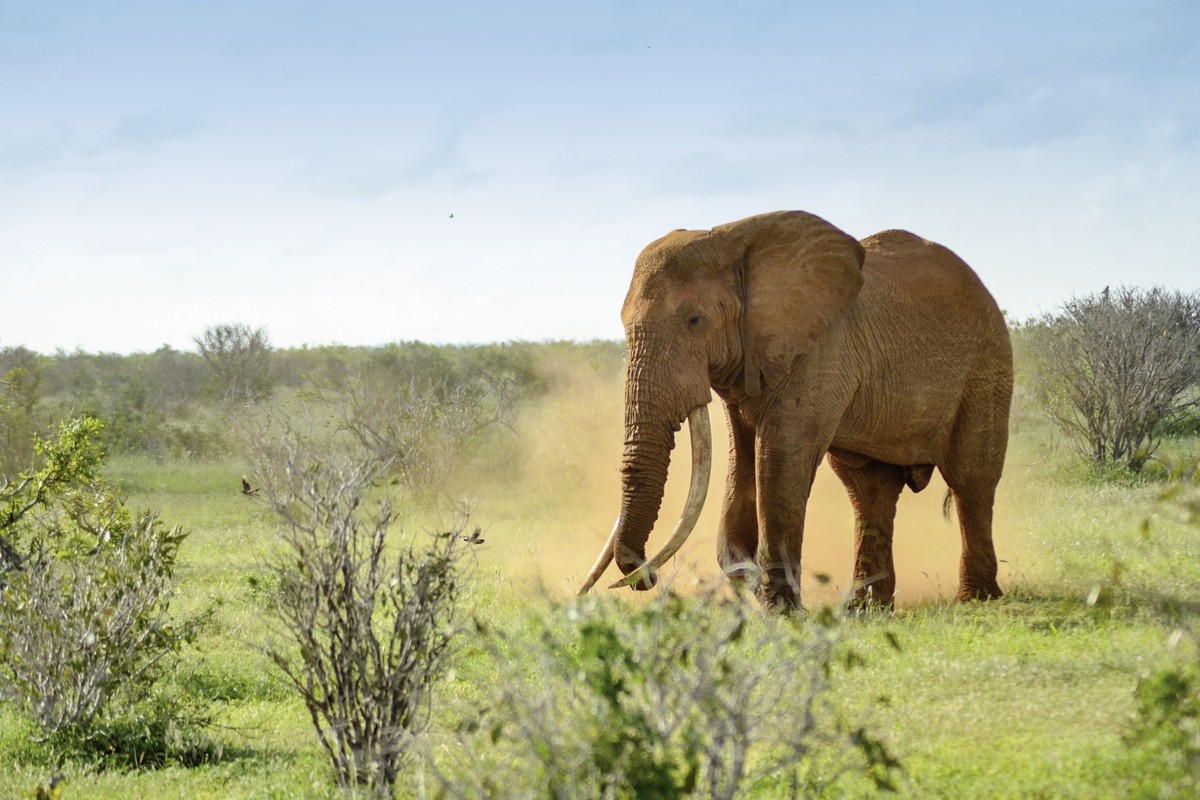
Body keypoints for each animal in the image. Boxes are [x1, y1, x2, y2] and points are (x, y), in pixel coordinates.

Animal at [578, 209, 1012, 609]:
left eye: (694, 320)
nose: (642, 577)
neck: (731, 241)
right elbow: (742, 462)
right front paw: (748, 576)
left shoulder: (823, 348)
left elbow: (779, 457)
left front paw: (780, 610)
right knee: (868, 489)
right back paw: (866, 610)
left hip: (987, 364)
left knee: (971, 479)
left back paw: (977, 599)